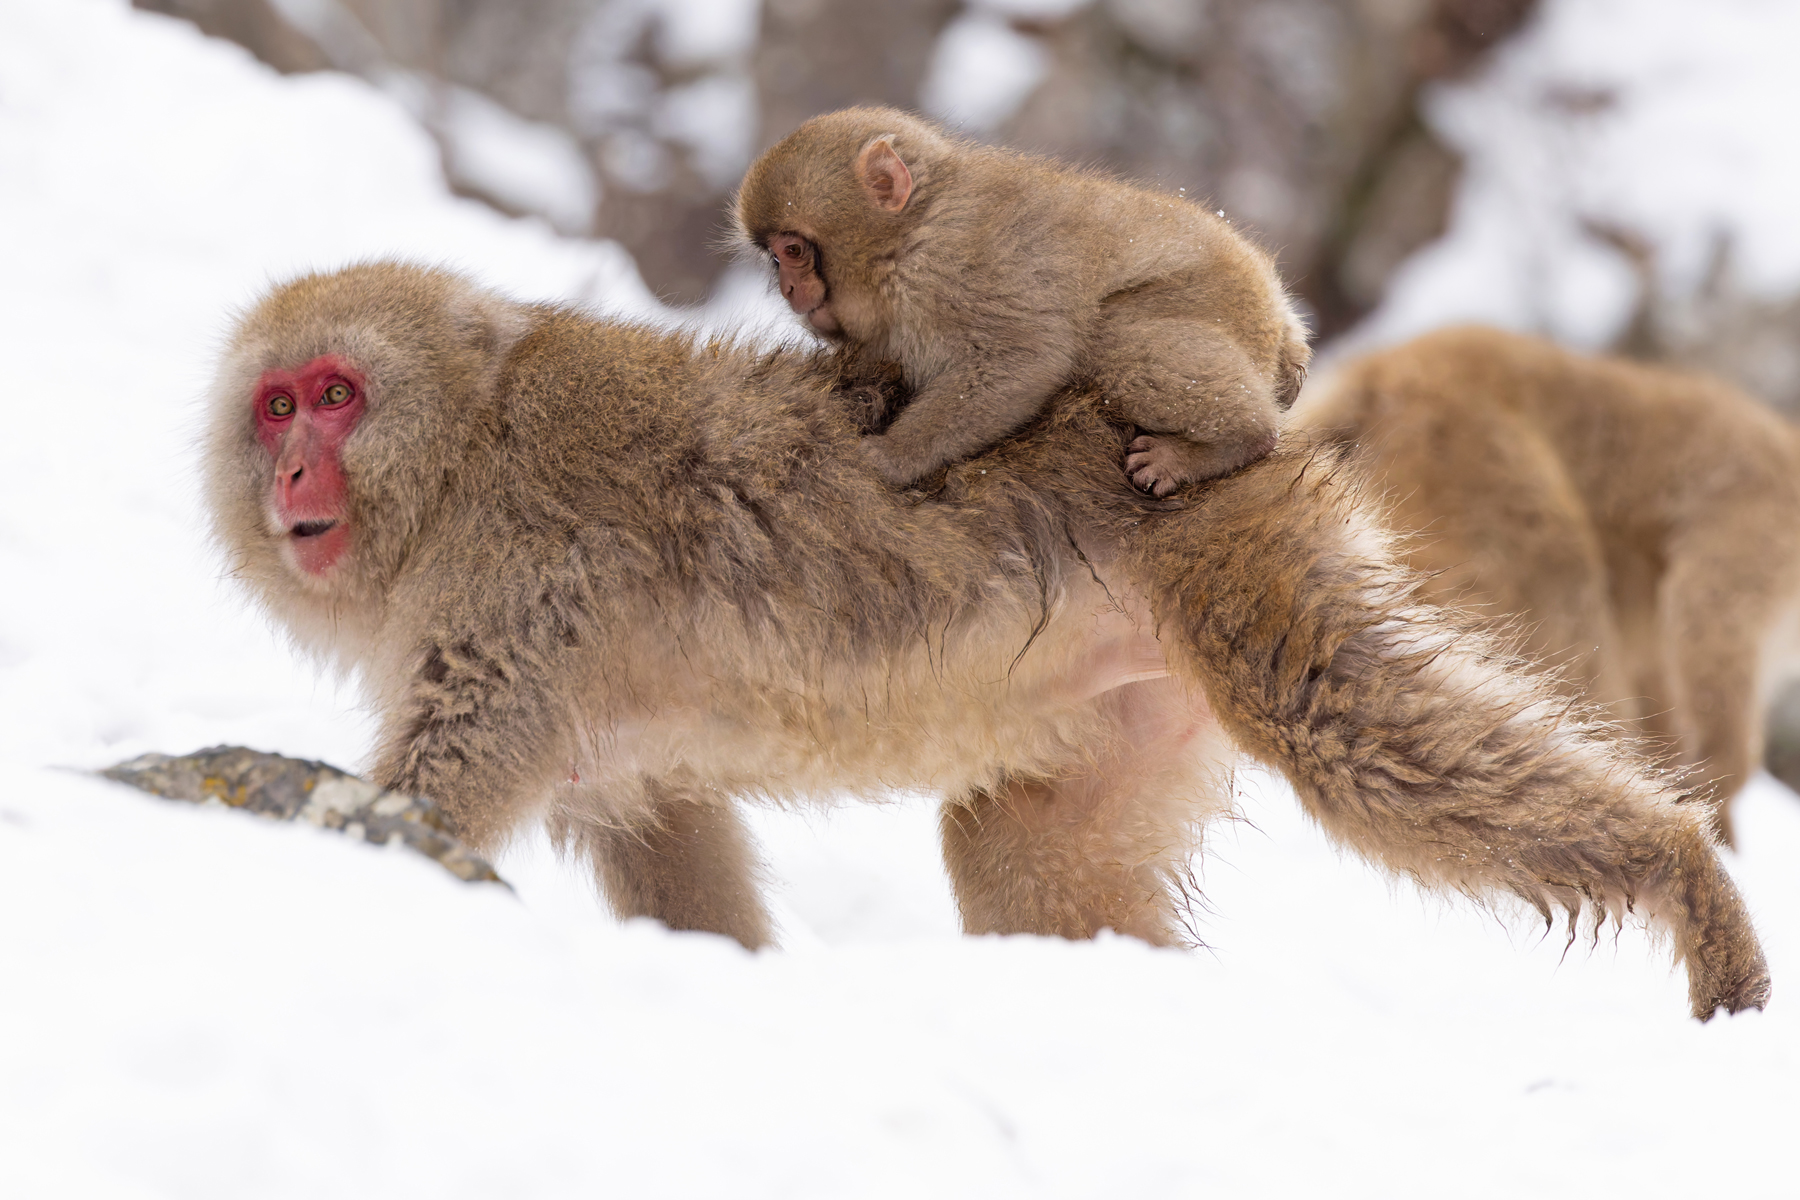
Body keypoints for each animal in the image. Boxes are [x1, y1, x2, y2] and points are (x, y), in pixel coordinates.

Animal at [732, 107, 1312, 497]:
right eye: (775, 259)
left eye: (793, 250)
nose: (789, 289)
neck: (911, 231)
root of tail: (1279, 314)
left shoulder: (956, 266)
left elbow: (1023, 357)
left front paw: (891, 458)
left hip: (1222, 302)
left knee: (1114, 333)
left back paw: (1233, 443)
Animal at [1296, 325, 1800, 847]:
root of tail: (1366, 386)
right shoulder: (1756, 527)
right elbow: (1708, 627)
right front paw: (1714, 793)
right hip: (1491, 482)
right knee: (1568, 625)